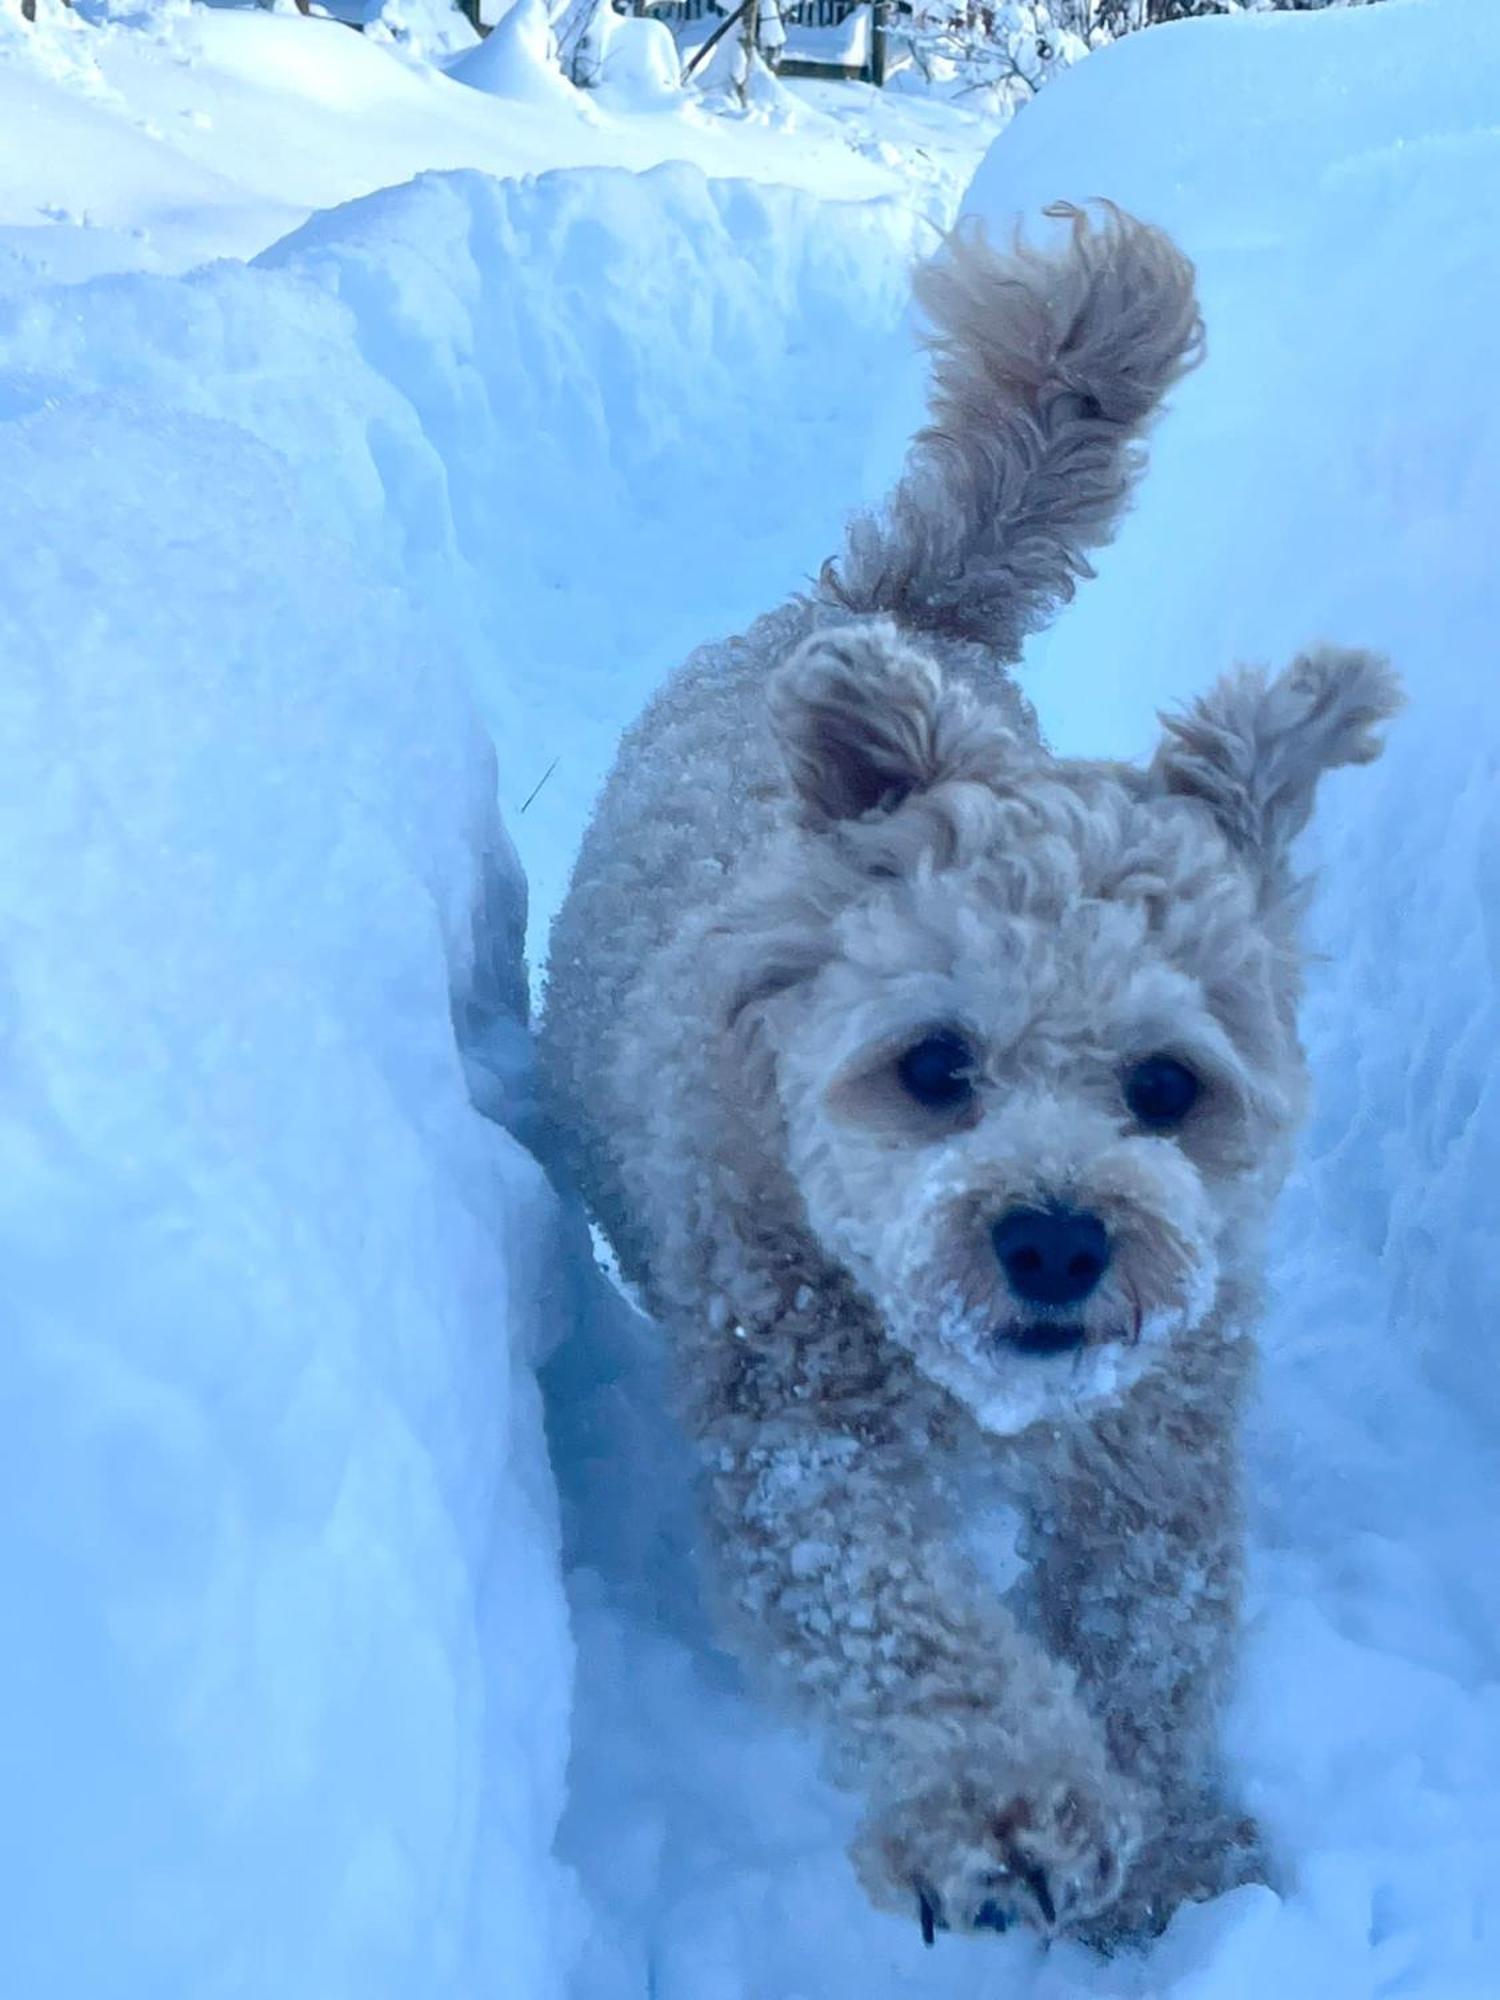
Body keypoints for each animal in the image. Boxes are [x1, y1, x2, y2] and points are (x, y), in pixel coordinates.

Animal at [536, 211, 1400, 1944]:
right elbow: (890, 1614)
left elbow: (1153, 1628)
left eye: (1167, 1085)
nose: (1057, 1239)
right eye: (933, 1063)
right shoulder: (800, 1424)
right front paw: (1009, 1810)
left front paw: (1174, 1853)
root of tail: (897, 604)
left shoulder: (1157, 1439)